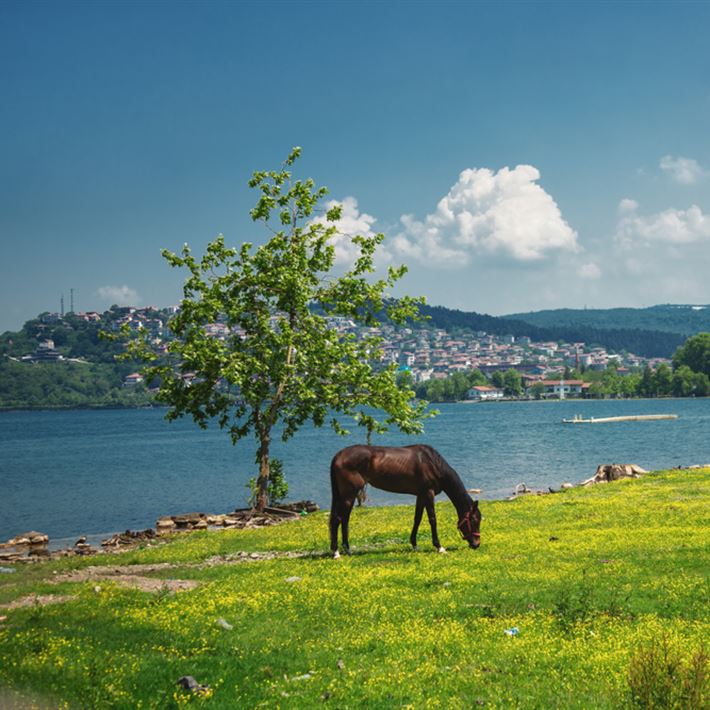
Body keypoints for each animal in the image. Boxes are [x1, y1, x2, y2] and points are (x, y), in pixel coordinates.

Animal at [330, 448, 482, 560]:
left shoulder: (421, 495)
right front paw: (439, 547)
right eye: (474, 520)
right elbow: (432, 519)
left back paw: (346, 550)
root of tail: (338, 455)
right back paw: (337, 552)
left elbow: (417, 519)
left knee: (343, 520)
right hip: (349, 495)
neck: (432, 463)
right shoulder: (429, 493)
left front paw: (414, 545)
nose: (476, 544)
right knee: (338, 520)